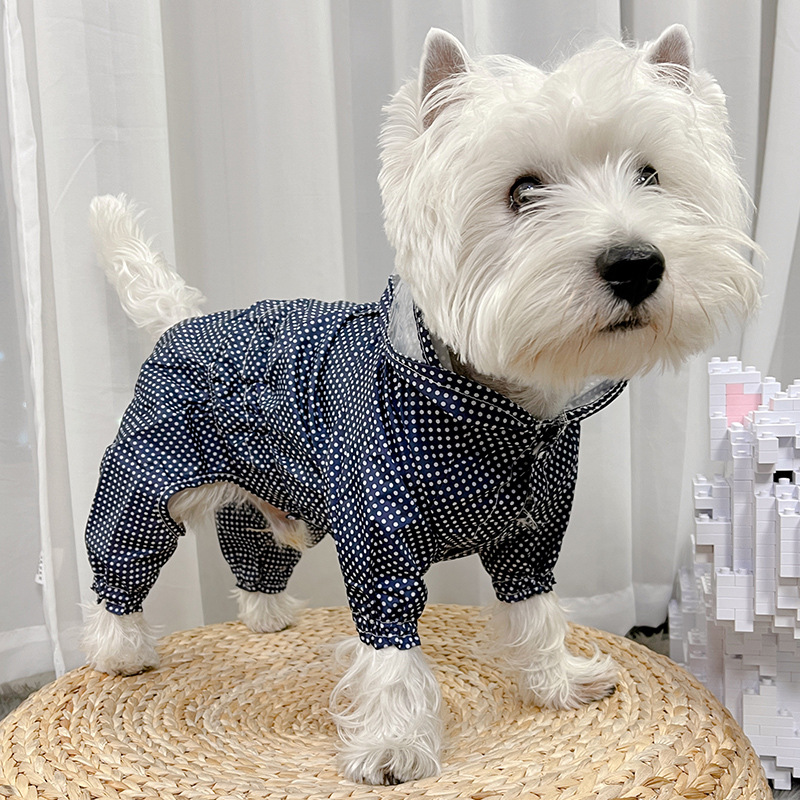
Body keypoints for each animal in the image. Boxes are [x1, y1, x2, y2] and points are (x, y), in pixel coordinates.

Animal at [84, 26, 760, 788]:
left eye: (650, 175)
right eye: (523, 191)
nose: (636, 264)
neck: (504, 411)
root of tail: (181, 322)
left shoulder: (532, 529)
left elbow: (537, 608)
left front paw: (559, 682)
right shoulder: (379, 535)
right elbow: (391, 651)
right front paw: (393, 746)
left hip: (266, 488)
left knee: (248, 540)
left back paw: (267, 614)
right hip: (145, 480)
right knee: (119, 559)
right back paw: (121, 649)